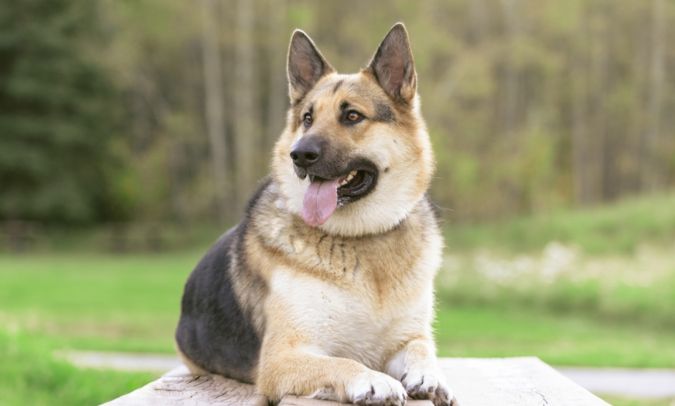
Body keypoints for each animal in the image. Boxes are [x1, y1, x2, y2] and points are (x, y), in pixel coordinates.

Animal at [177, 23, 456, 406]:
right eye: (307, 119)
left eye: (352, 116)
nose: (299, 155)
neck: (362, 240)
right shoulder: (283, 358)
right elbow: (342, 362)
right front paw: (375, 380)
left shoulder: (409, 337)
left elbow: (422, 350)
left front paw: (431, 374)